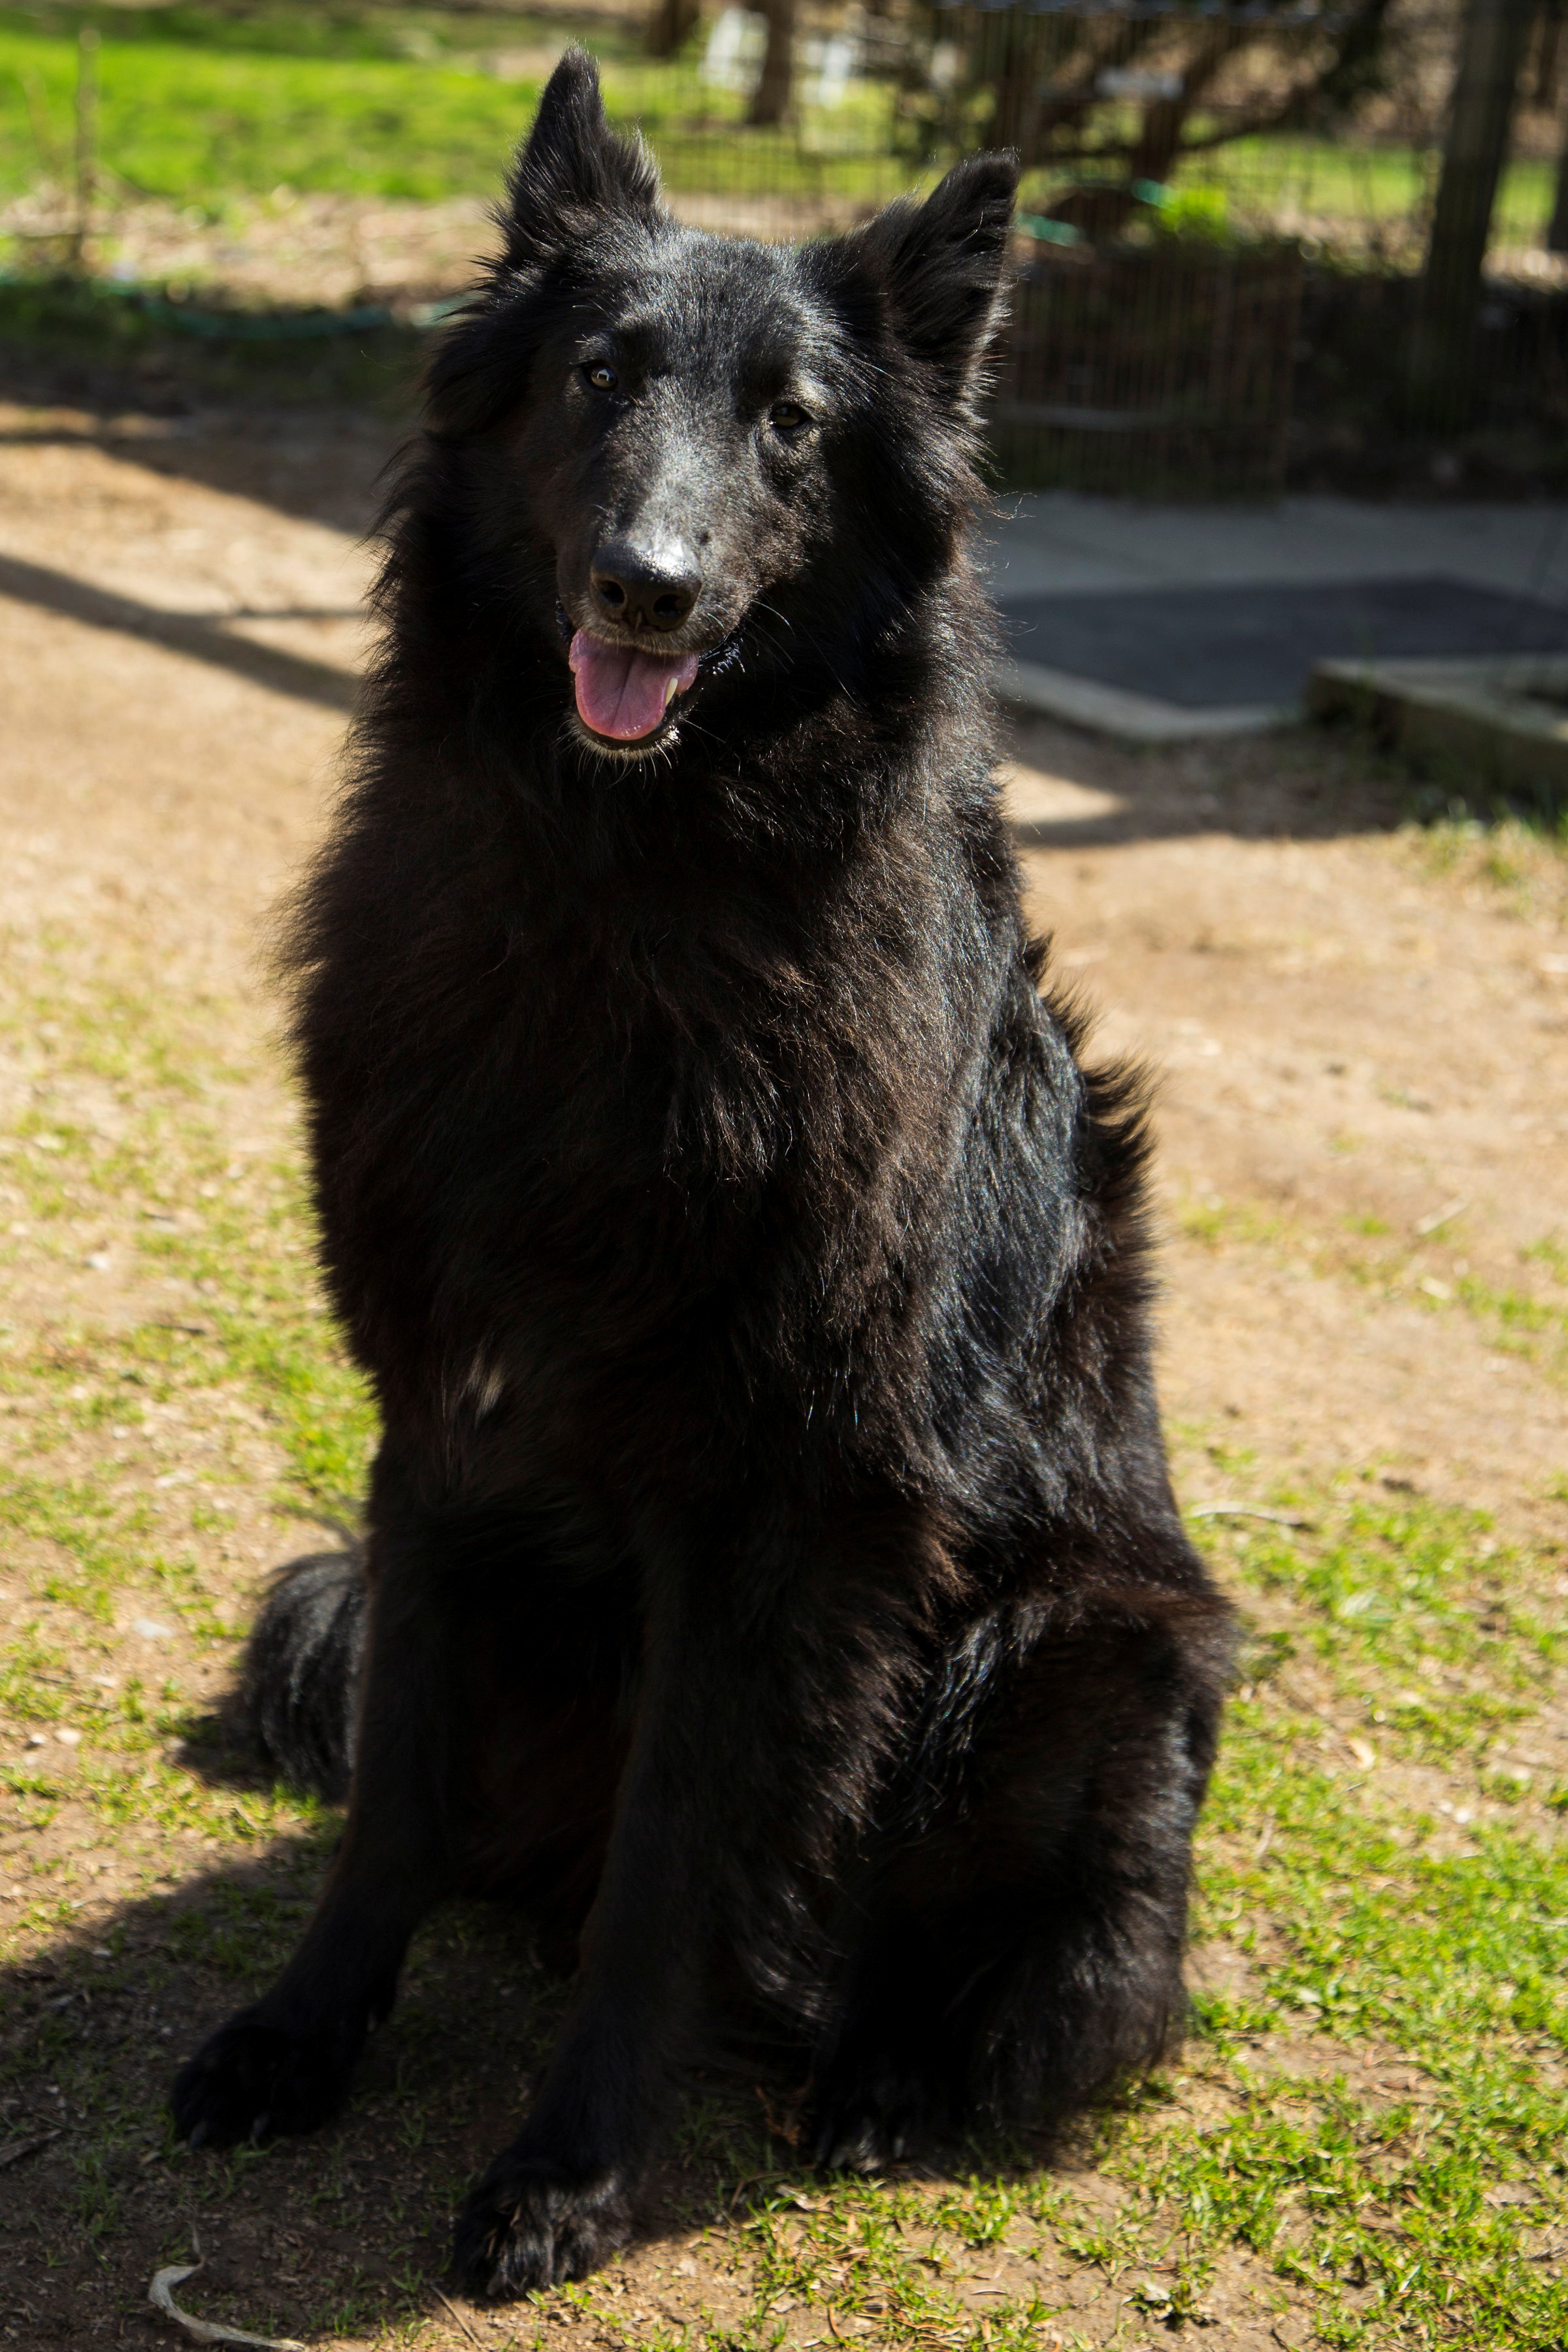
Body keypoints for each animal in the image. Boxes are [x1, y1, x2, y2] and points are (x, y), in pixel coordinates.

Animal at [171, 55, 1241, 2295]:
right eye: (599, 374)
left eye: (795, 425)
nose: (646, 588)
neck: (616, 889)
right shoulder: (442, 1432)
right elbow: (392, 1799)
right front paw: (305, 2035)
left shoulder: (774, 1515)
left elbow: (678, 1860)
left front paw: (571, 2165)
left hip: (1090, 1651)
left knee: (1028, 1971)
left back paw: (884, 2072)